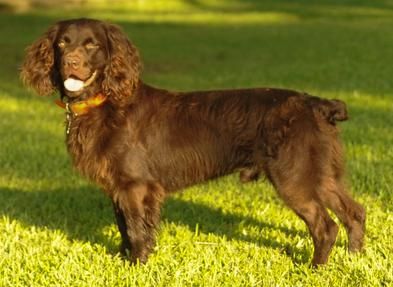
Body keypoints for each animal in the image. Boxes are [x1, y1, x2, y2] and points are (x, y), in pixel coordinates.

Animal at [21, 17, 364, 266]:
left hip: (294, 178)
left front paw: (137, 264)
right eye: (62, 42)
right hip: (322, 175)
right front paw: (122, 258)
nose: (70, 62)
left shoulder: (136, 185)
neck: (105, 103)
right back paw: (354, 256)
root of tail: (317, 104)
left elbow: (136, 229)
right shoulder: (118, 186)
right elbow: (123, 227)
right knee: (354, 212)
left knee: (326, 226)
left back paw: (315, 268)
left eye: (92, 44)